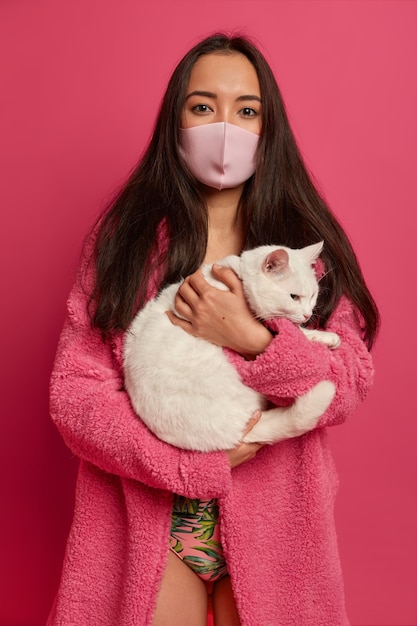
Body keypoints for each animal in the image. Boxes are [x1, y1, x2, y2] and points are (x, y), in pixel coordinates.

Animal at [122, 241, 338, 450]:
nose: (308, 315)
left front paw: (324, 337)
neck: (239, 273)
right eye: (294, 297)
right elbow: (294, 330)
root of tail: (239, 432)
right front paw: (320, 335)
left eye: (313, 295)